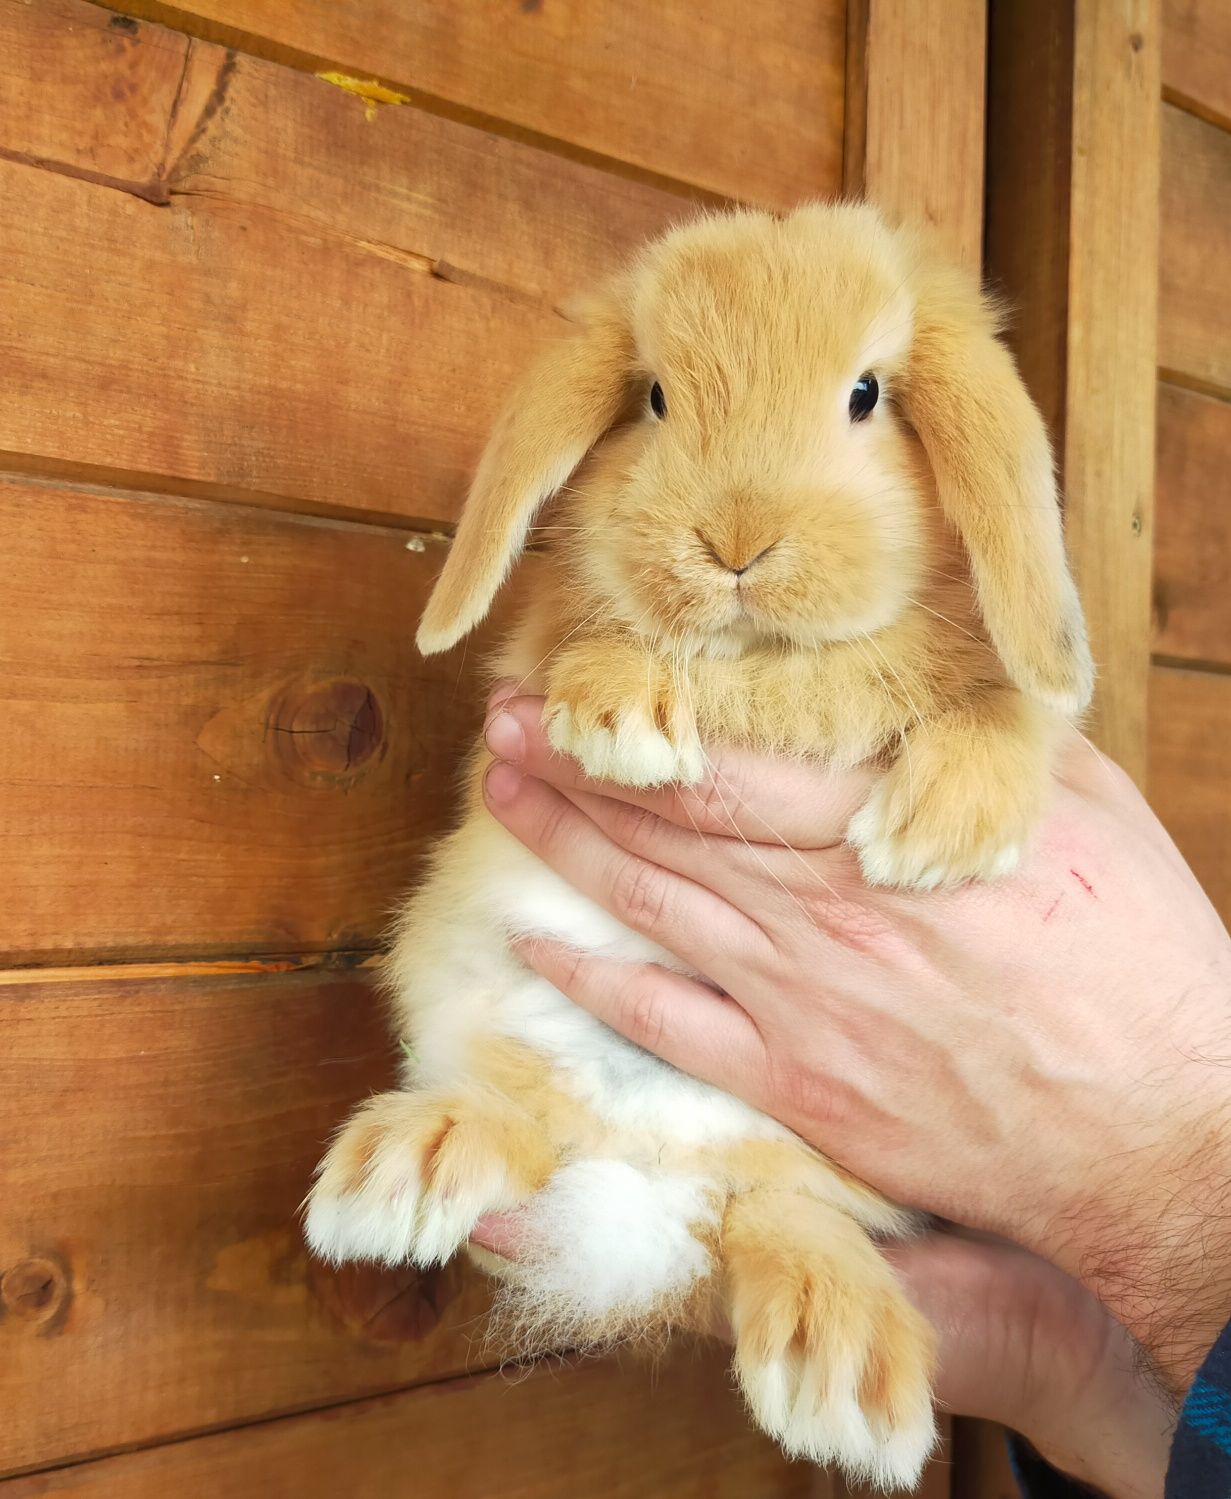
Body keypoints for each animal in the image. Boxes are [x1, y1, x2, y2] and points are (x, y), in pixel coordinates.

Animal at [302, 199, 1091, 1487]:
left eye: (868, 393)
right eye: (658, 397)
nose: (734, 543)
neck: (769, 659)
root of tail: (654, 1175)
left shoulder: (990, 691)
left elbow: (1007, 706)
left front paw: (934, 837)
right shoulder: (548, 642)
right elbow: (588, 638)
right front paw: (621, 721)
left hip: (813, 1156)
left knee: (784, 1212)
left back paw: (839, 1369)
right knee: (534, 1127)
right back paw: (408, 1167)